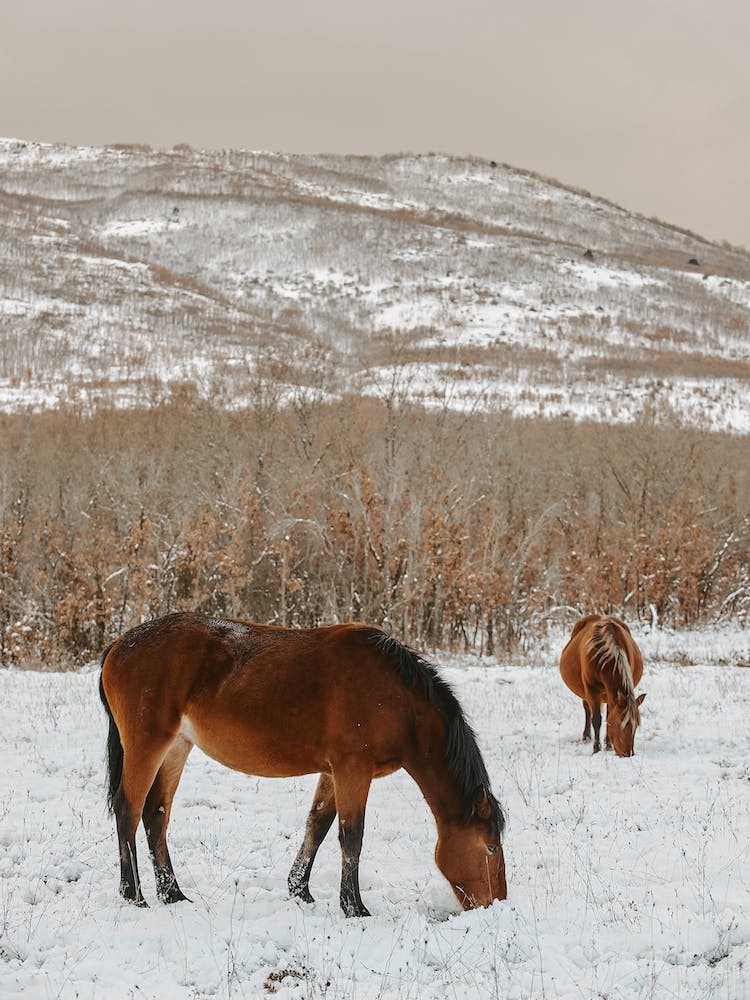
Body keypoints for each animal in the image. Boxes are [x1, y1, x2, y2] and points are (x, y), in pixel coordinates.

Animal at [98, 612, 506, 916]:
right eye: (490, 848)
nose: (497, 905)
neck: (395, 698)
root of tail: (119, 645)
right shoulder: (353, 769)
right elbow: (351, 837)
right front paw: (354, 907)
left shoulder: (332, 772)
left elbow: (317, 826)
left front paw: (300, 891)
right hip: (147, 746)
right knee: (128, 809)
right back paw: (134, 895)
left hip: (176, 748)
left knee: (156, 815)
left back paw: (172, 894)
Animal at [559, 614, 645, 757]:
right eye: (621, 722)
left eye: (636, 725)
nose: (628, 754)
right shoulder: (591, 690)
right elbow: (596, 719)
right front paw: (596, 748)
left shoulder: (611, 694)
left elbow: (608, 717)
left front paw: (608, 745)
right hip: (585, 692)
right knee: (587, 710)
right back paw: (586, 736)